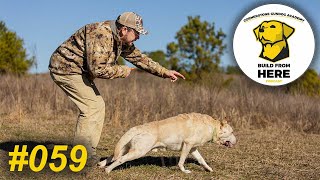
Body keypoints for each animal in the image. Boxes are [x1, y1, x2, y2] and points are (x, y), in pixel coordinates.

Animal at [99, 112, 236, 173]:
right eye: (232, 132)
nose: (237, 140)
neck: (212, 127)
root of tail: (137, 128)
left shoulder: (193, 149)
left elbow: (202, 160)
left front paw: (209, 169)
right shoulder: (187, 145)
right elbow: (181, 162)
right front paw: (184, 171)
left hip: (126, 148)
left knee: (113, 156)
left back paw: (101, 165)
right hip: (138, 152)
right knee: (120, 160)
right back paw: (108, 170)